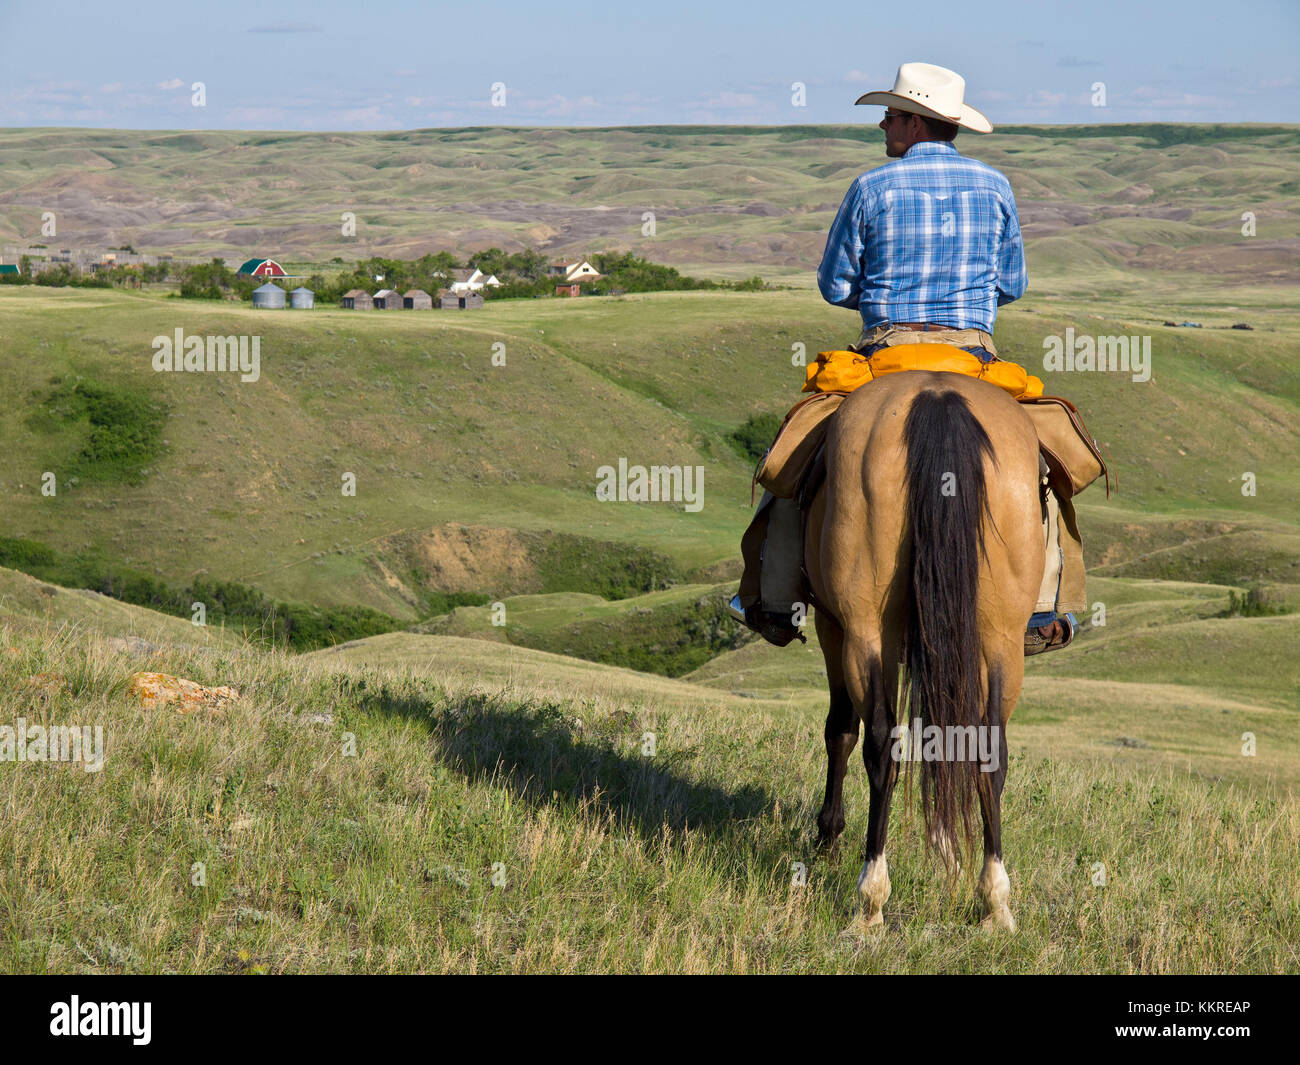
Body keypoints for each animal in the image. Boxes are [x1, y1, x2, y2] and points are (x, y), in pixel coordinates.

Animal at [800, 369, 1045, 931]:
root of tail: (936, 395)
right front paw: (947, 856)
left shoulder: (831, 624)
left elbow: (840, 731)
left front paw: (828, 835)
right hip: (1002, 638)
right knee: (989, 751)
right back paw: (995, 901)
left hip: (865, 630)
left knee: (879, 742)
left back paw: (870, 898)